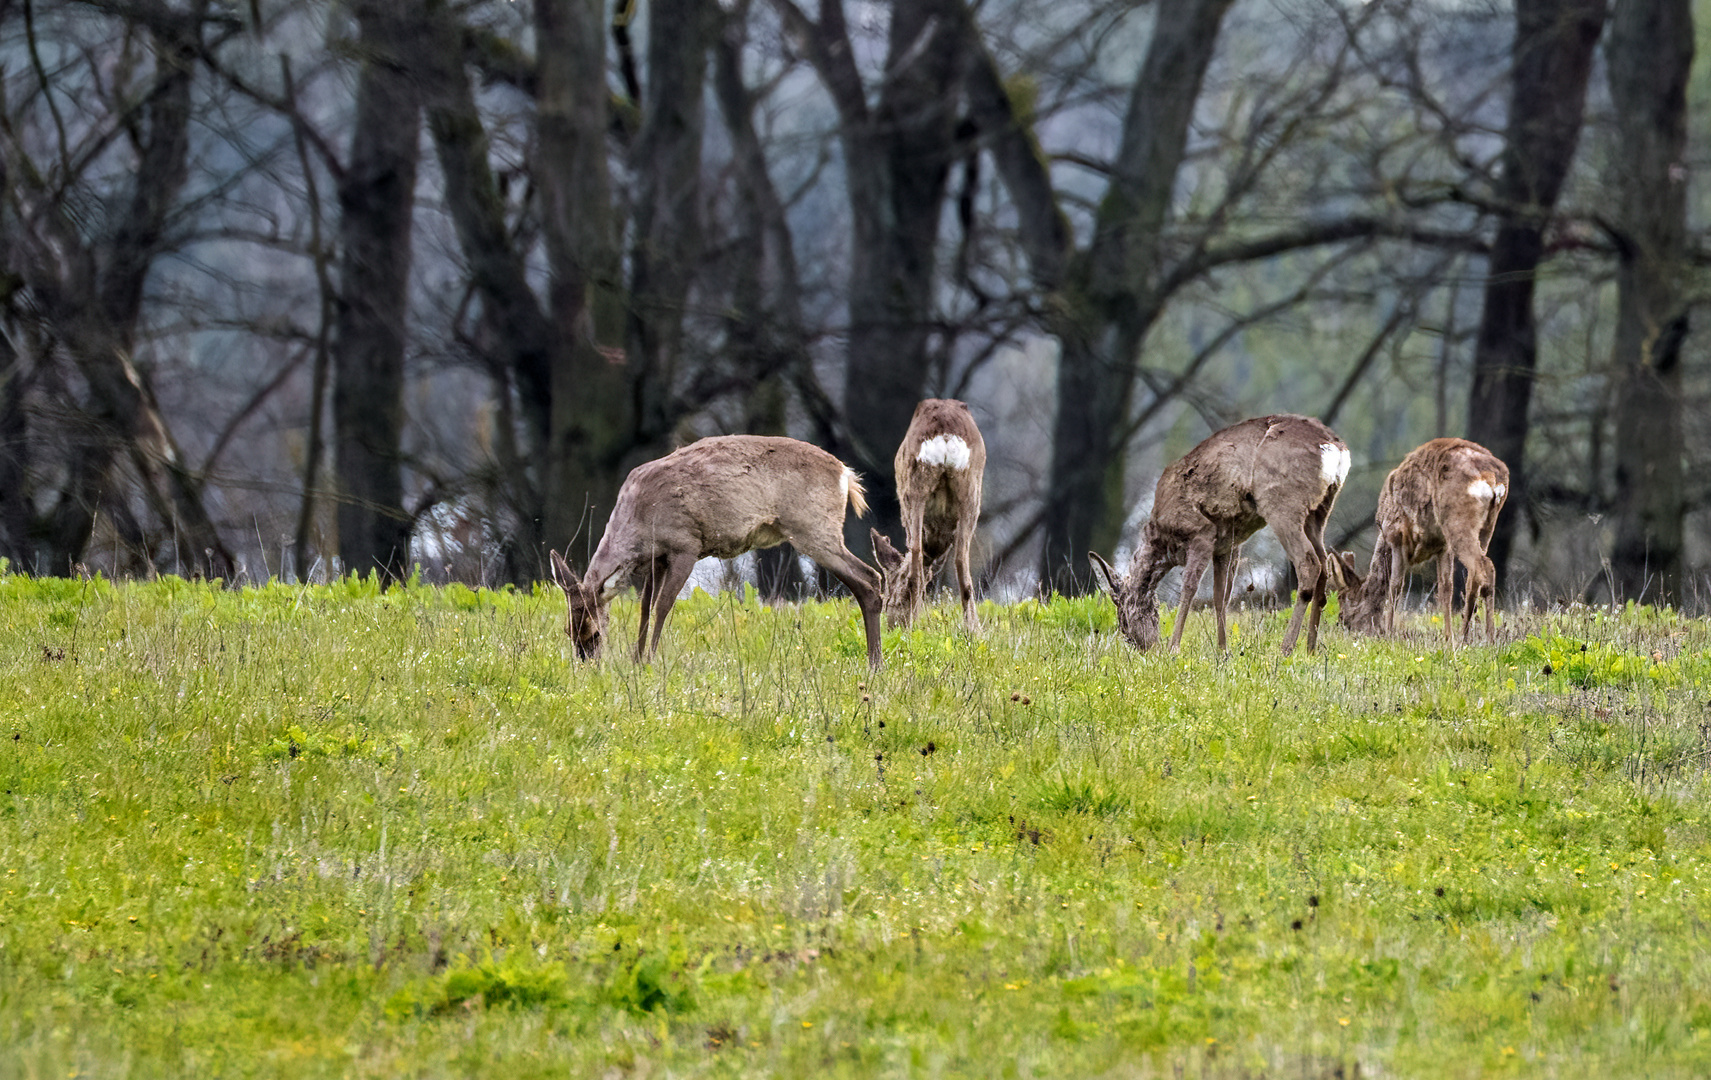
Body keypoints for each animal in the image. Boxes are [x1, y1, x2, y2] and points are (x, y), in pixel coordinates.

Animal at [550, 434, 896, 670]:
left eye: (595, 633)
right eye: (567, 630)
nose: (587, 664)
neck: (638, 521)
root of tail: (845, 474)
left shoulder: (685, 543)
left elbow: (662, 606)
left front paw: (649, 660)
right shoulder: (657, 557)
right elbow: (644, 608)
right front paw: (636, 660)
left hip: (814, 528)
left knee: (869, 578)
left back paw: (875, 663)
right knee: (866, 581)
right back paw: (874, 660)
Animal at [869, 402, 992, 629]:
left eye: (888, 597)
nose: (892, 625)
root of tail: (945, 433)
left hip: (915, 484)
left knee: (916, 552)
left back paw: (914, 624)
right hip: (971, 488)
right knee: (961, 557)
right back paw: (973, 629)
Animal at [1095, 414, 1348, 653]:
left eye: (1123, 619)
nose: (1139, 645)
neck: (1162, 539)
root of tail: (1336, 448)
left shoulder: (1202, 532)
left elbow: (1189, 587)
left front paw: (1173, 647)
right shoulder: (1228, 544)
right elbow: (1221, 596)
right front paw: (1223, 649)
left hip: (1282, 503)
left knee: (1309, 562)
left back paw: (1286, 648)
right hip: (1320, 510)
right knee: (1324, 564)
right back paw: (1310, 648)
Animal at [1327, 438, 1505, 646]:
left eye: (1343, 612)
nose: (1346, 628)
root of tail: (1494, 479)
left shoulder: (1396, 535)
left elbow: (1395, 585)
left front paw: (1388, 633)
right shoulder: (1443, 546)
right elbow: (1445, 588)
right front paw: (1447, 638)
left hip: (1457, 519)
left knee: (1484, 567)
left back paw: (1489, 638)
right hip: (1486, 527)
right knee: (1474, 576)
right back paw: (1464, 637)